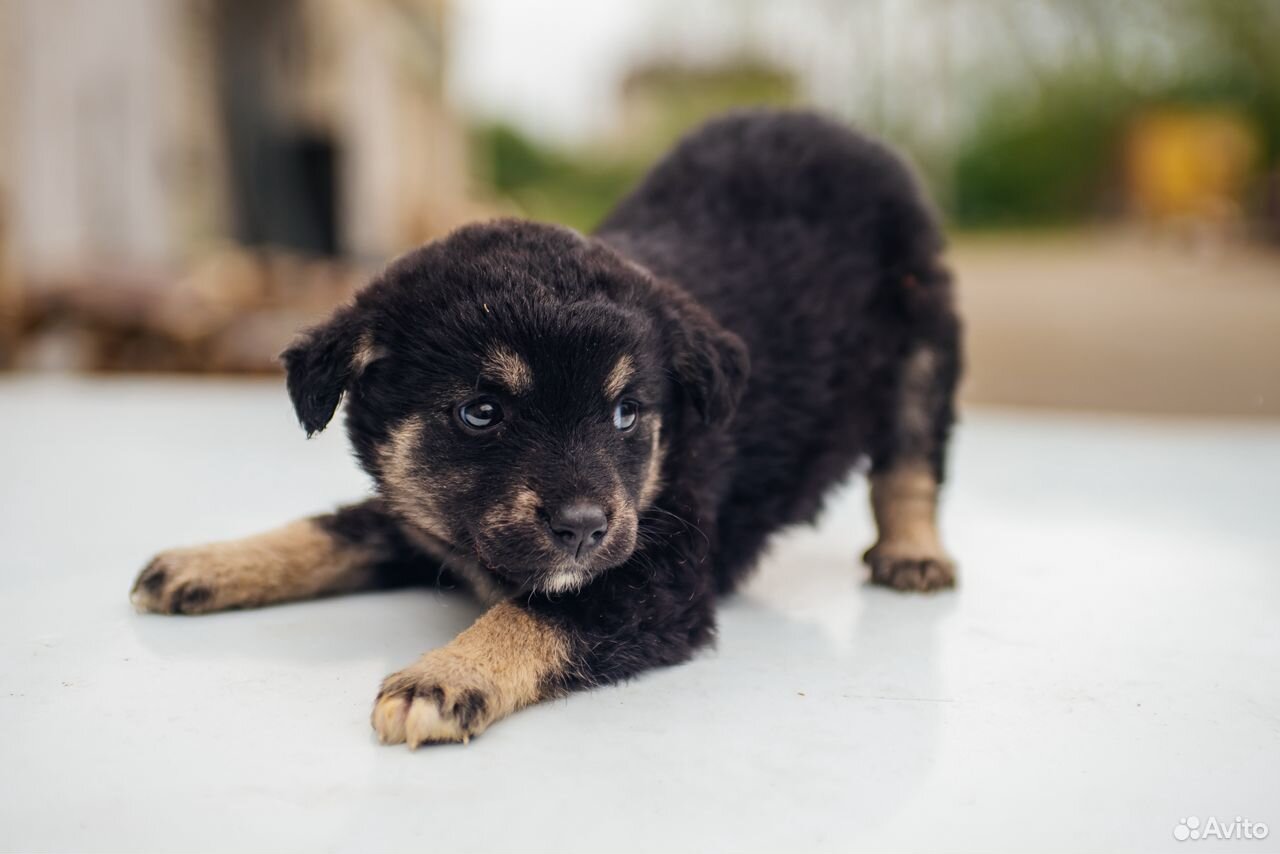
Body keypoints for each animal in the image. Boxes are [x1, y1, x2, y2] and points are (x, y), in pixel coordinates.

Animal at [132, 112, 962, 747]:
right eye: (480, 412)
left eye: (627, 412)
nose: (585, 528)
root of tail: (842, 130)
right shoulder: (419, 513)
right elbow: (335, 528)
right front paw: (210, 562)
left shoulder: (657, 576)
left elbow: (536, 615)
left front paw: (445, 676)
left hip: (923, 345)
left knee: (911, 462)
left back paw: (914, 553)